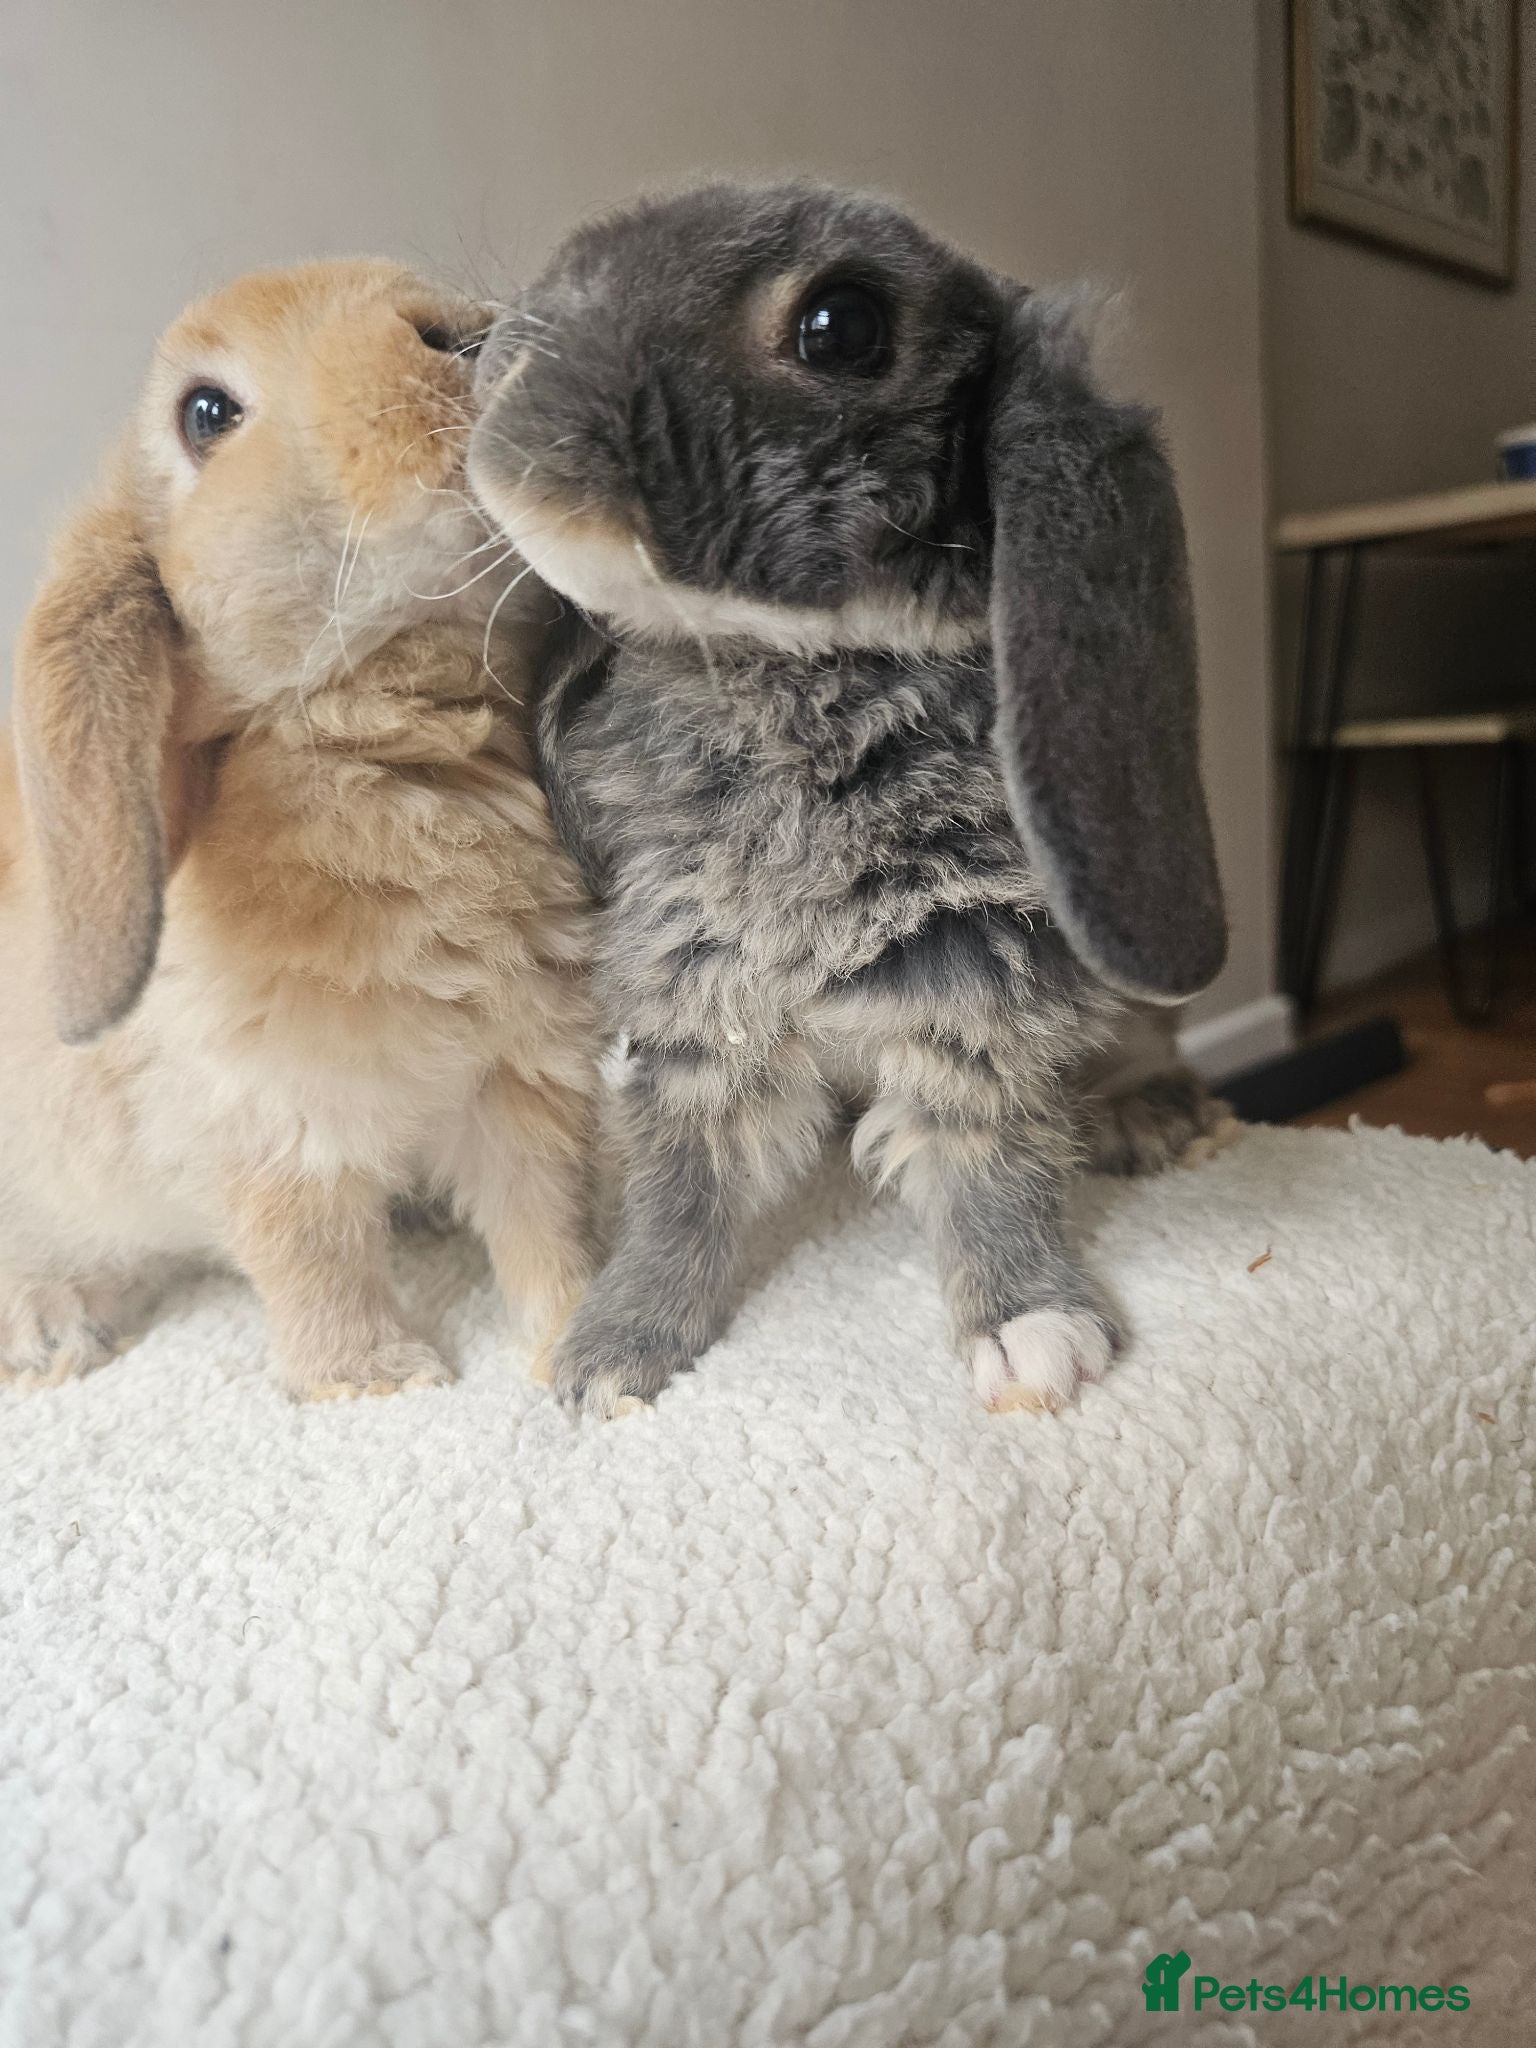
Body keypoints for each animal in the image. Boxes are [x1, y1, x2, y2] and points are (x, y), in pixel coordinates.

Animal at [1, 260, 597, 1402]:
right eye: (206, 414)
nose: (465, 335)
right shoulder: (277, 1130)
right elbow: (315, 1257)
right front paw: (382, 1382)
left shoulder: (524, 1075)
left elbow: (550, 1221)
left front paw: (574, 1350)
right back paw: (55, 1331)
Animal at [466, 182, 1227, 1419]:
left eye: (842, 326)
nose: (504, 373)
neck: (783, 667)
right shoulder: (696, 988)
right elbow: (682, 1185)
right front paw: (614, 1352)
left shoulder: (973, 978)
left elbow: (989, 1160)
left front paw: (1034, 1331)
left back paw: (1155, 1119)